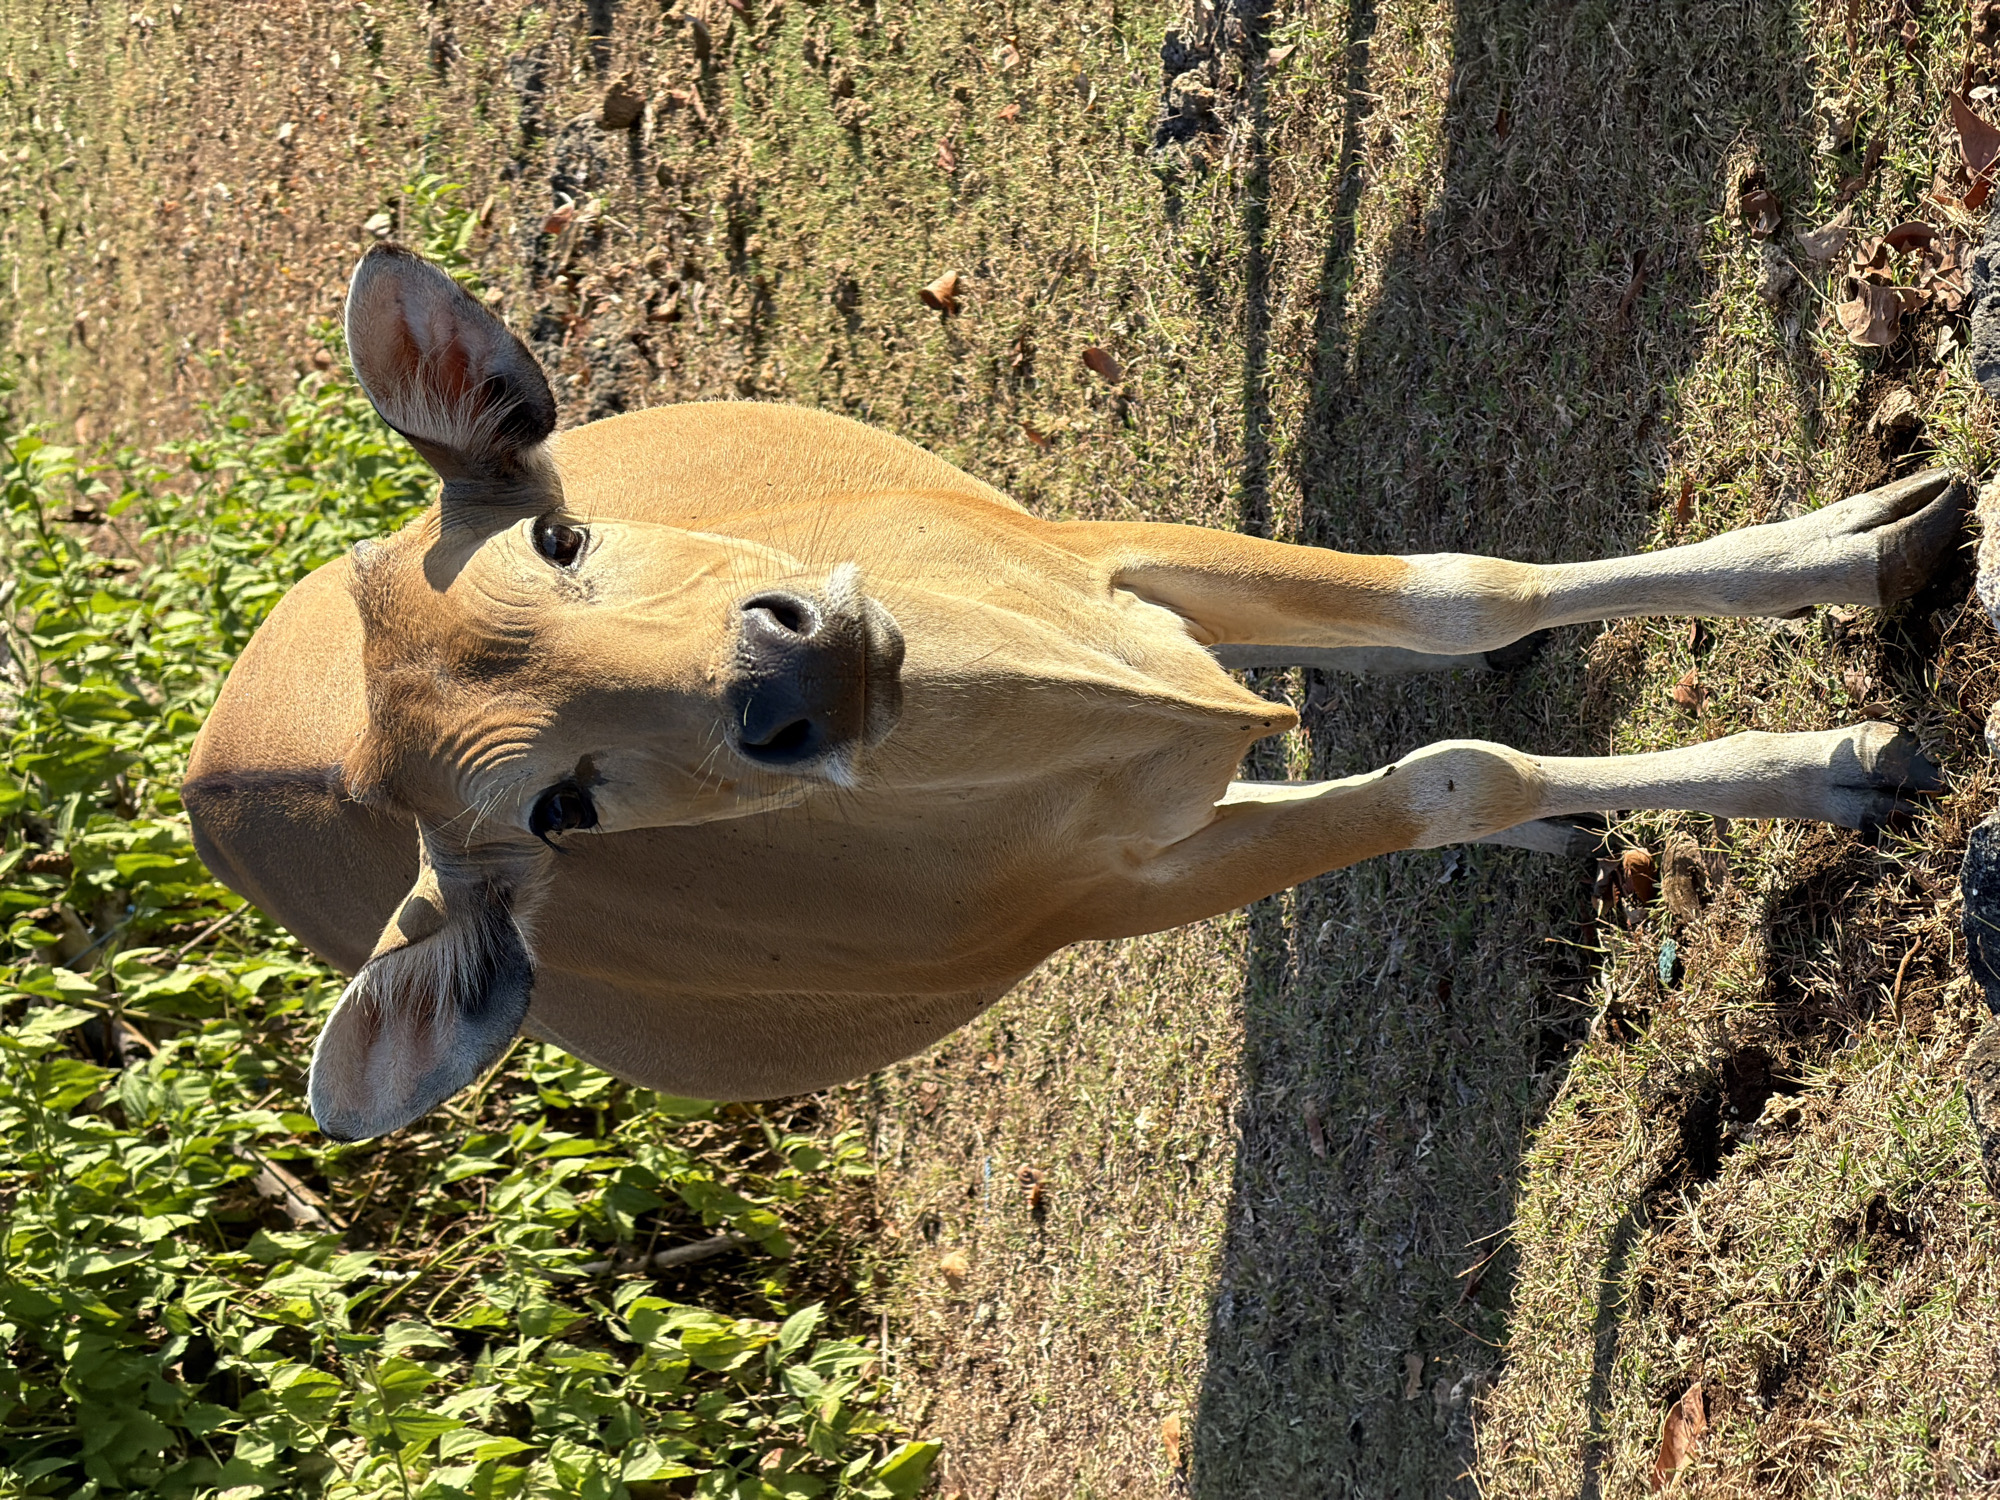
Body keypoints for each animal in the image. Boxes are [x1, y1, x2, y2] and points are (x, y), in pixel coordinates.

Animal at [182, 245, 1964, 1142]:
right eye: (557, 805)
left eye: (562, 533)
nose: (796, 676)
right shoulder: (1137, 888)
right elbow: (1458, 768)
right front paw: (1844, 762)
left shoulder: (1121, 560)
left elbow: (1472, 596)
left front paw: (1862, 545)